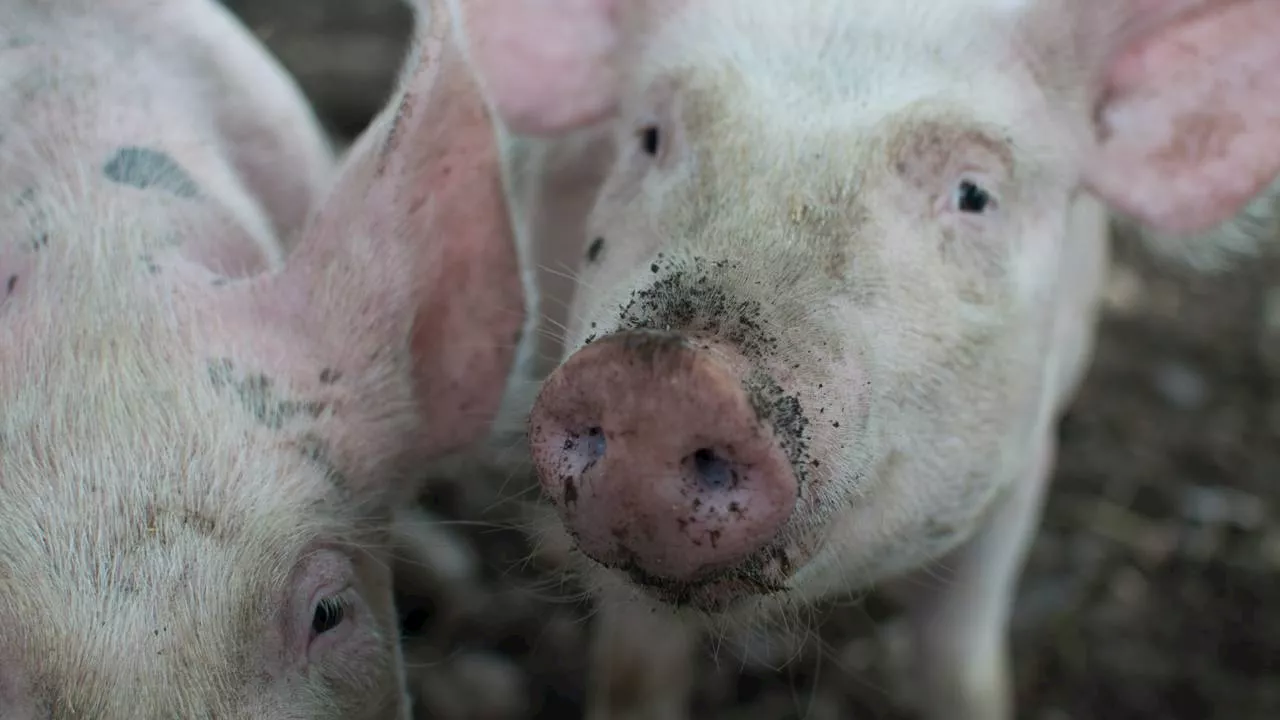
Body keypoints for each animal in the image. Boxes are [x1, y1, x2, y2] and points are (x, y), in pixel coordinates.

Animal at [448, 0, 1280, 712]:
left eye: (974, 194)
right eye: (649, 138)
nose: (663, 376)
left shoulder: (1028, 455)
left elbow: (958, 664)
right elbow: (635, 669)